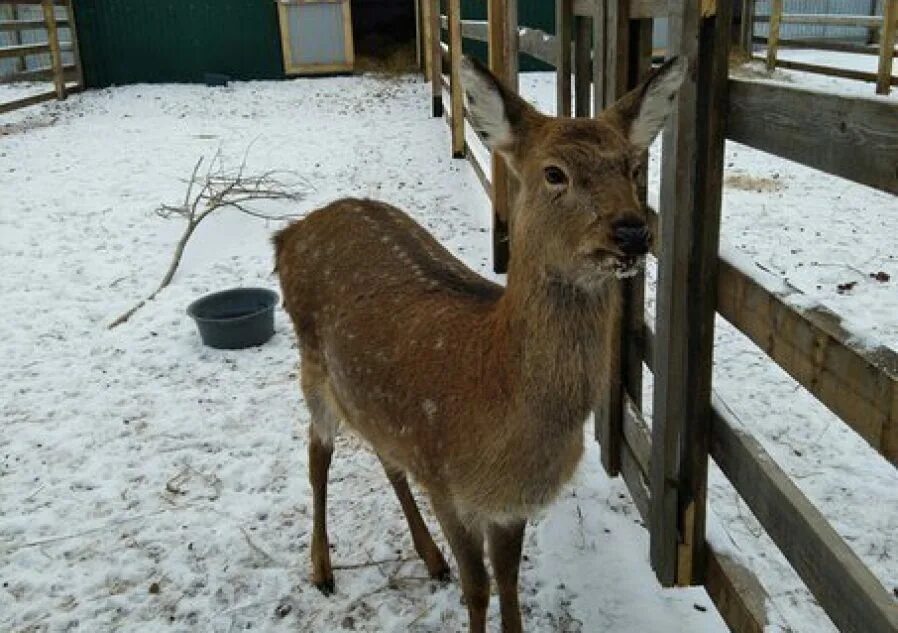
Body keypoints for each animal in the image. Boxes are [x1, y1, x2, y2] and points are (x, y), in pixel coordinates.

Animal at [270, 55, 684, 632]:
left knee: (384, 455)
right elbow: (479, 588)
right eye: (554, 172)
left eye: (633, 167)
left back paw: (429, 557)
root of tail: (287, 234)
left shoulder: (507, 504)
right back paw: (323, 569)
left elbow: (509, 583)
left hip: (373, 404)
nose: (632, 232)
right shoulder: (449, 485)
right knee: (316, 451)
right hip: (312, 367)